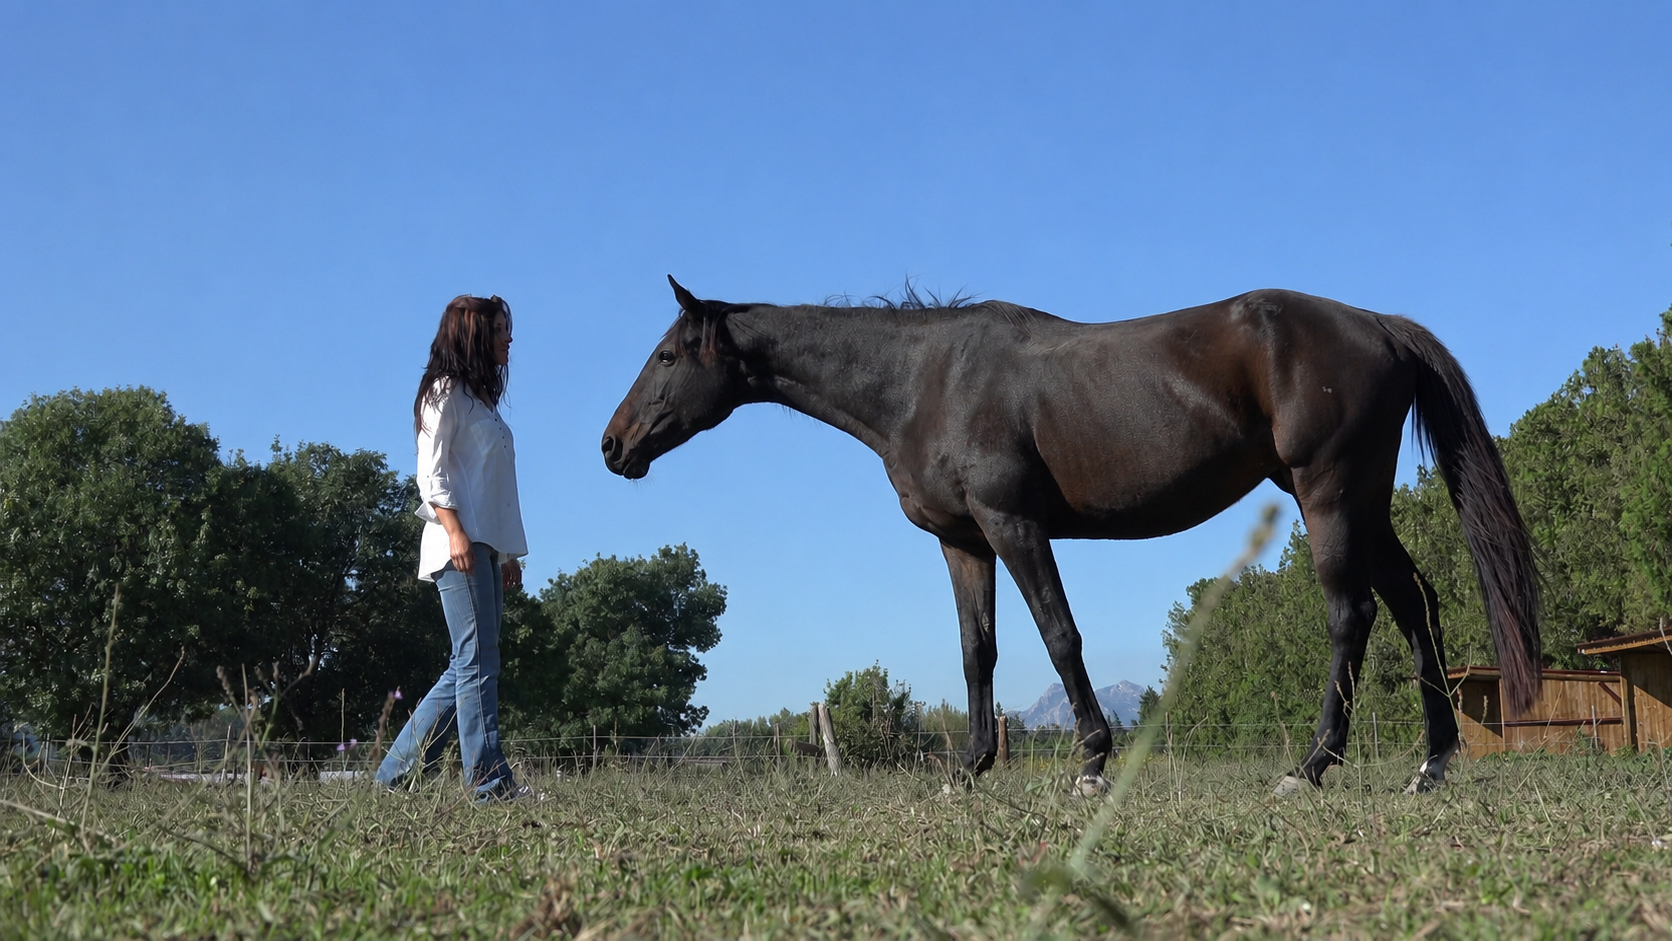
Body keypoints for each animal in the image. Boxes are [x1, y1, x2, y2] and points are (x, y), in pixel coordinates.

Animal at [602, 277, 1540, 794]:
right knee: (1415, 604)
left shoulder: (1013, 523)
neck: (921, 380)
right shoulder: (963, 541)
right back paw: (1432, 764)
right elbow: (977, 650)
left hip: (1329, 494)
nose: (613, 445)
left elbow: (1059, 635)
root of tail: (1377, 324)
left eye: (666, 355)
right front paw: (971, 767)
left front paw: (1091, 761)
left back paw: (1309, 765)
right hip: (1363, 502)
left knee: (1354, 614)